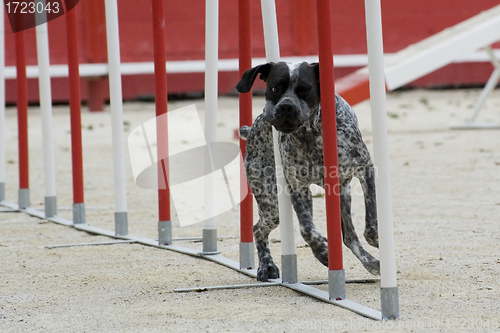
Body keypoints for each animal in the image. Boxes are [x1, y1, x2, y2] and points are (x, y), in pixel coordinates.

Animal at [236, 61, 380, 280]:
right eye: (275, 88)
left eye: (305, 88)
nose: (286, 107)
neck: (310, 134)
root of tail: (252, 128)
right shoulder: (298, 188)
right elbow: (307, 229)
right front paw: (322, 252)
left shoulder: (365, 169)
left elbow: (370, 225)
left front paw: (377, 241)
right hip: (272, 203)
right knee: (258, 229)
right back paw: (266, 266)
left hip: (341, 195)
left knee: (349, 236)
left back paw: (370, 262)